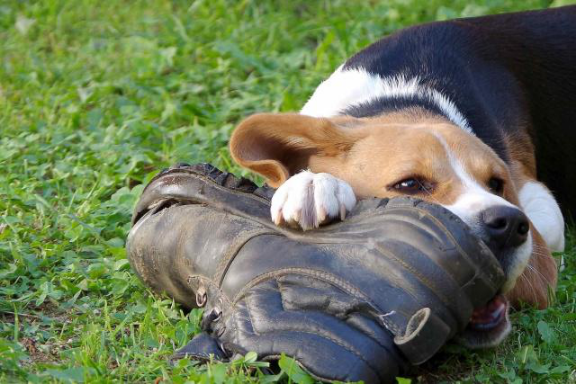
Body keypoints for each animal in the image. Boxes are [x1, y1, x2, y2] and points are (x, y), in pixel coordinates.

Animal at [227, 6, 572, 348]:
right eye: (409, 184)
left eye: (496, 184)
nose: (509, 224)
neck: (405, 96)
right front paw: (312, 184)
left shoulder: (540, 201)